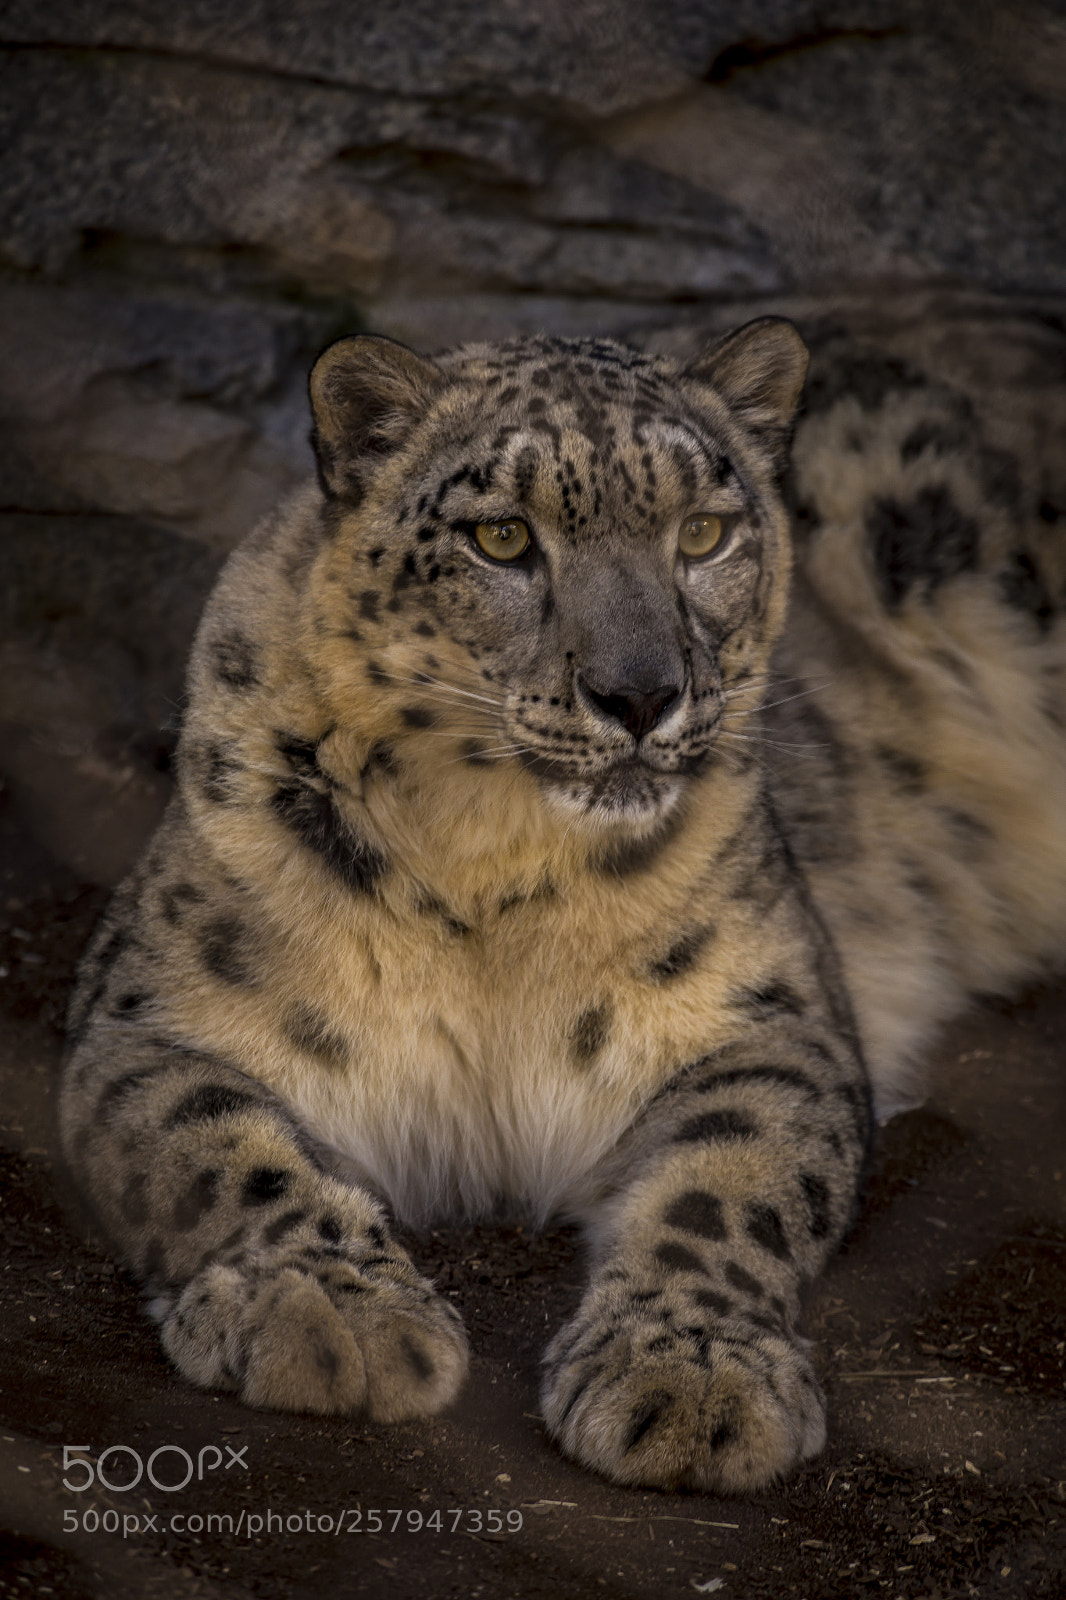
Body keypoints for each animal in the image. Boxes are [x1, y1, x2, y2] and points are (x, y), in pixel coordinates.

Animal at [60, 315, 1066, 1494]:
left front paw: (691, 1375)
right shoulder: (155, 1011)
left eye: (704, 532)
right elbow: (211, 1145)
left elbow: (732, 1178)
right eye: (501, 537)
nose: (639, 695)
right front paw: (330, 1310)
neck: (490, 867)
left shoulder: (771, 1020)